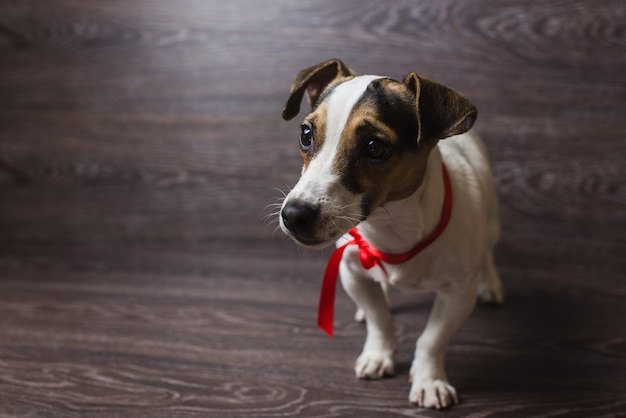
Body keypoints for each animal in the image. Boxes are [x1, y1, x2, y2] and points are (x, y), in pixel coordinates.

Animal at [278, 60, 502, 410]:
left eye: (374, 147)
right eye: (306, 134)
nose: (293, 215)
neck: (390, 228)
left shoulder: (457, 296)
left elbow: (432, 339)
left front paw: (429, 380)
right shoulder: (352, 271)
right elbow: (379, 318)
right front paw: (378, 354)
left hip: (491, 223)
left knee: (489, 253)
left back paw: (490, 282)